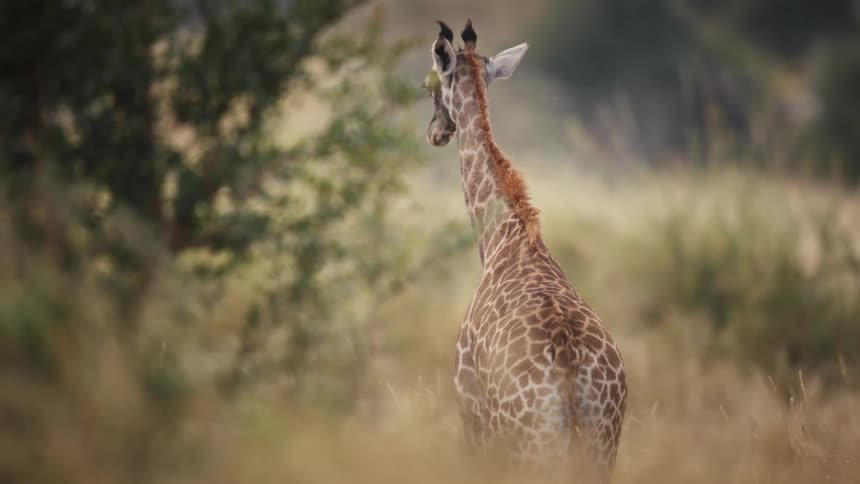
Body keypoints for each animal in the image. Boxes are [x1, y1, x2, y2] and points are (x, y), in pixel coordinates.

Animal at [423, 20, 628, 479]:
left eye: (430, 86)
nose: (434, 132)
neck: (503, 237)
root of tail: (569, 369)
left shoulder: (470, 412)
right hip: (601, 445)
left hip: (527, 445)